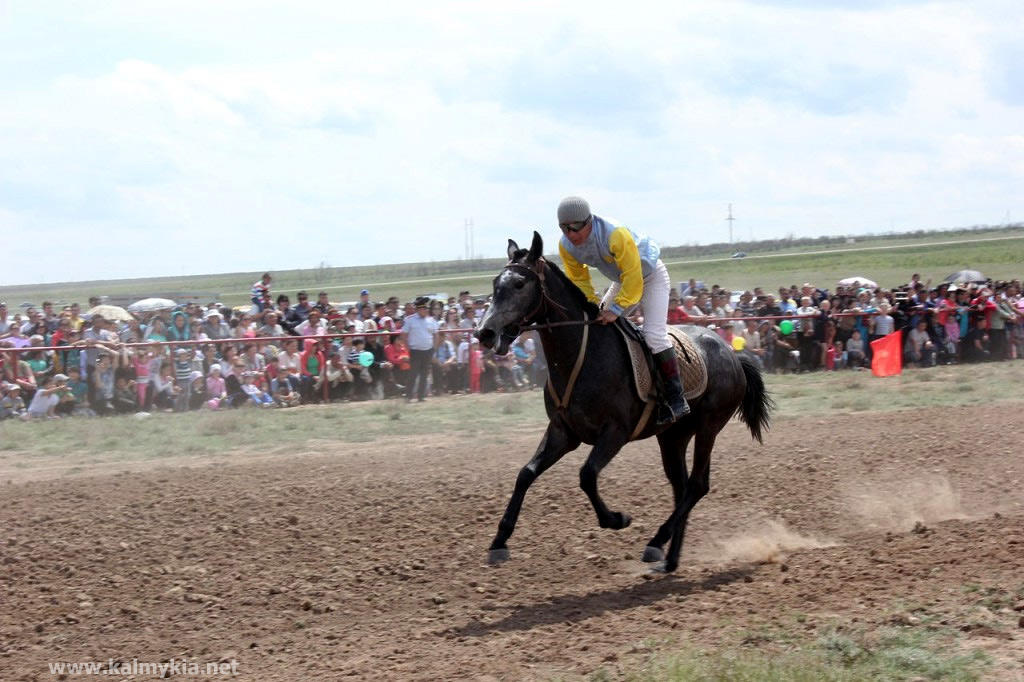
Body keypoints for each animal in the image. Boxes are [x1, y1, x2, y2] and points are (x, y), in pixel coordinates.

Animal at [475, 231, 770, 569]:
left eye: (519, 284)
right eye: (495, 283)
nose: (484, 332)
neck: (582, 355)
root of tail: (733, 354)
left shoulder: (615, 432)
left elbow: (587, 475)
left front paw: (617, 518)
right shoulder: (563, 432)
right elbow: (525, 473)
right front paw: (499, 541)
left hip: (709, 427)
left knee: (696, 485)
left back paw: (656, 541)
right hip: (674, 435)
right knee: (681, 486)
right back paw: (669, 559)